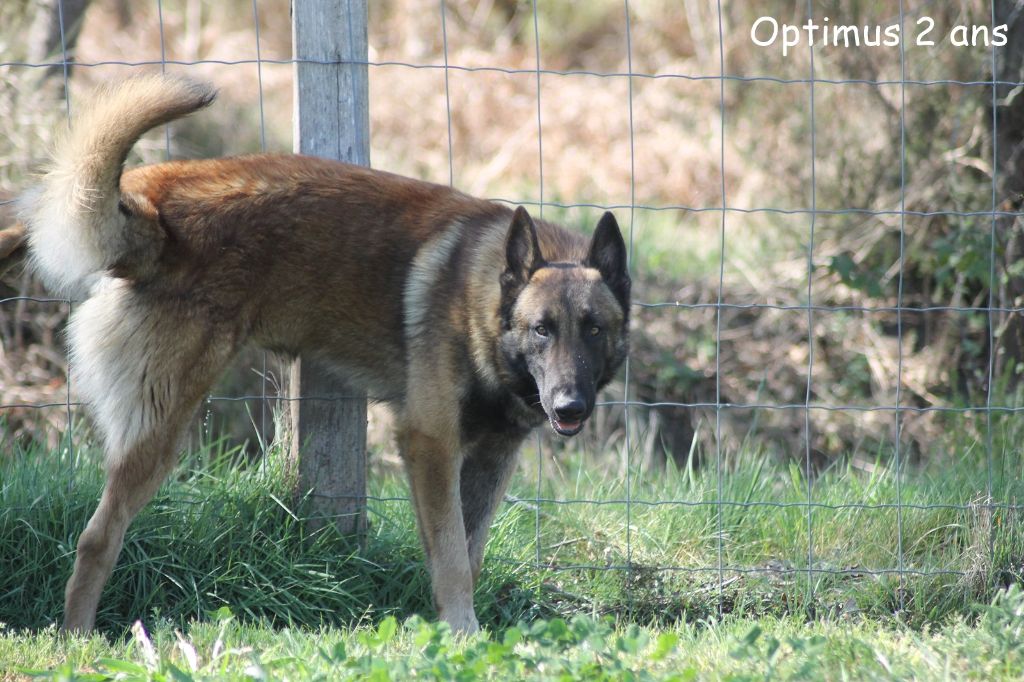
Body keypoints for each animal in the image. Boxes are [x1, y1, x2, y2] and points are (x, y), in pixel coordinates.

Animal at [16, 74, 630, 634]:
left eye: (594, 330)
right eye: (541, 330)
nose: (570, 407)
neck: (481, 306)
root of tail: (151, 216)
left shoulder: (491, 457)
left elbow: (470, 554)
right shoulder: (432, 444)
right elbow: (453, 557)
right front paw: (463, 634)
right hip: (159, 433)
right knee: (97, 538)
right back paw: (79, 638)